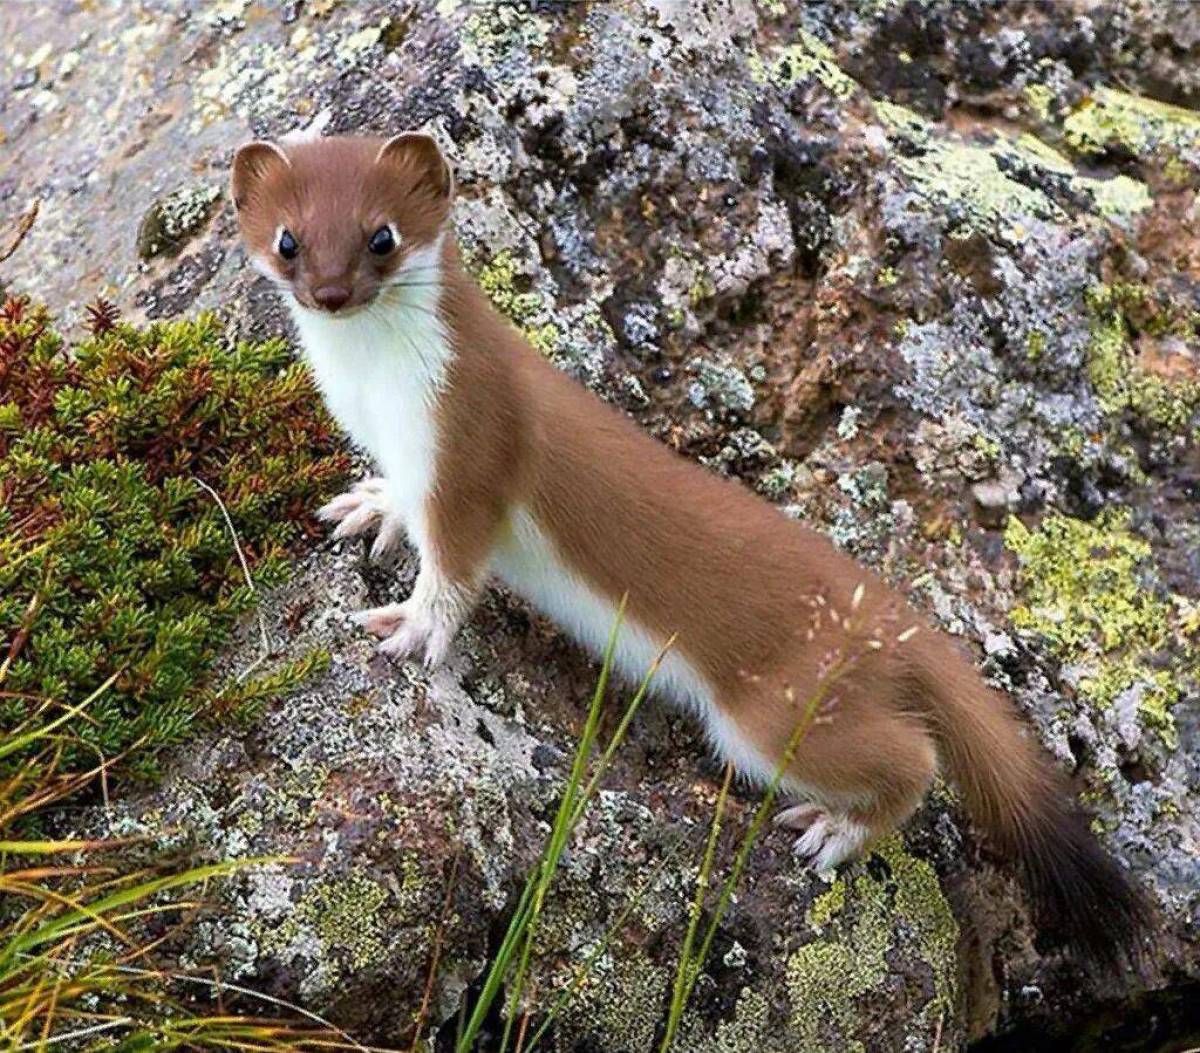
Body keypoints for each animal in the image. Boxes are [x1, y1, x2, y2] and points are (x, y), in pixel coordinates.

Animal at [231, 130, 1142, 964]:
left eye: (382, 235)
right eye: (288, 238)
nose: (331, 291)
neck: (374, 391)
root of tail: (897, 619)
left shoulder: (472, 445)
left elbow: (456, 564)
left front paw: (411, 625)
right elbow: (402, 501)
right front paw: (371, 505)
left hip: (771, 712)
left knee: (910, 758)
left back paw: (835, 829)